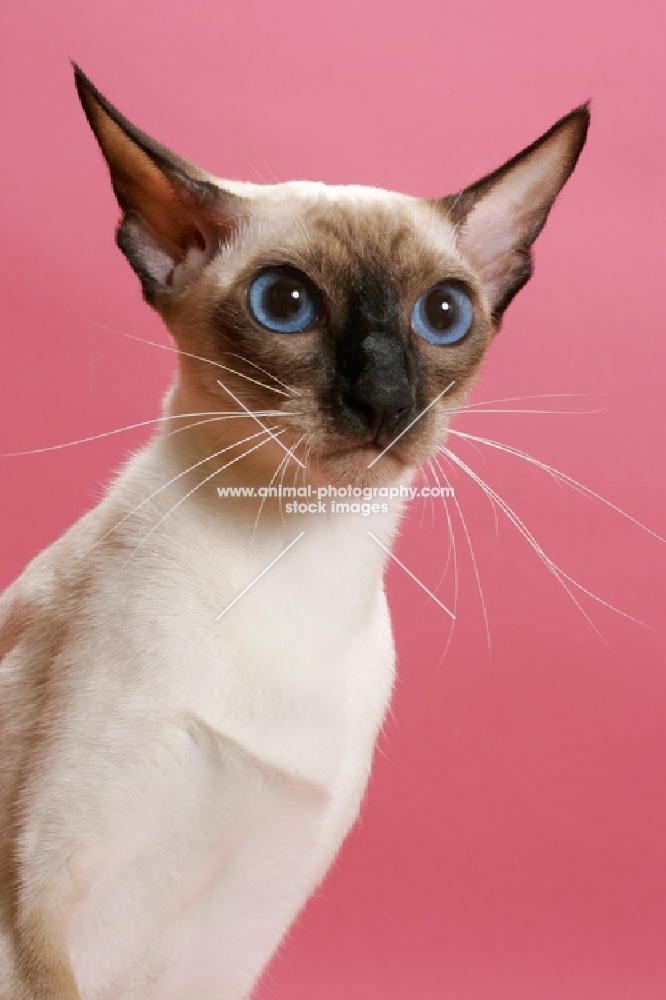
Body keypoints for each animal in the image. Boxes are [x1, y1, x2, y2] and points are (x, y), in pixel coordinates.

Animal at [0, 68, 588, 1000]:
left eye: (444, 314)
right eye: (285, 303)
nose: (384, 399)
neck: (293, 556)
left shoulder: (235, 936)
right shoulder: (41, 895)